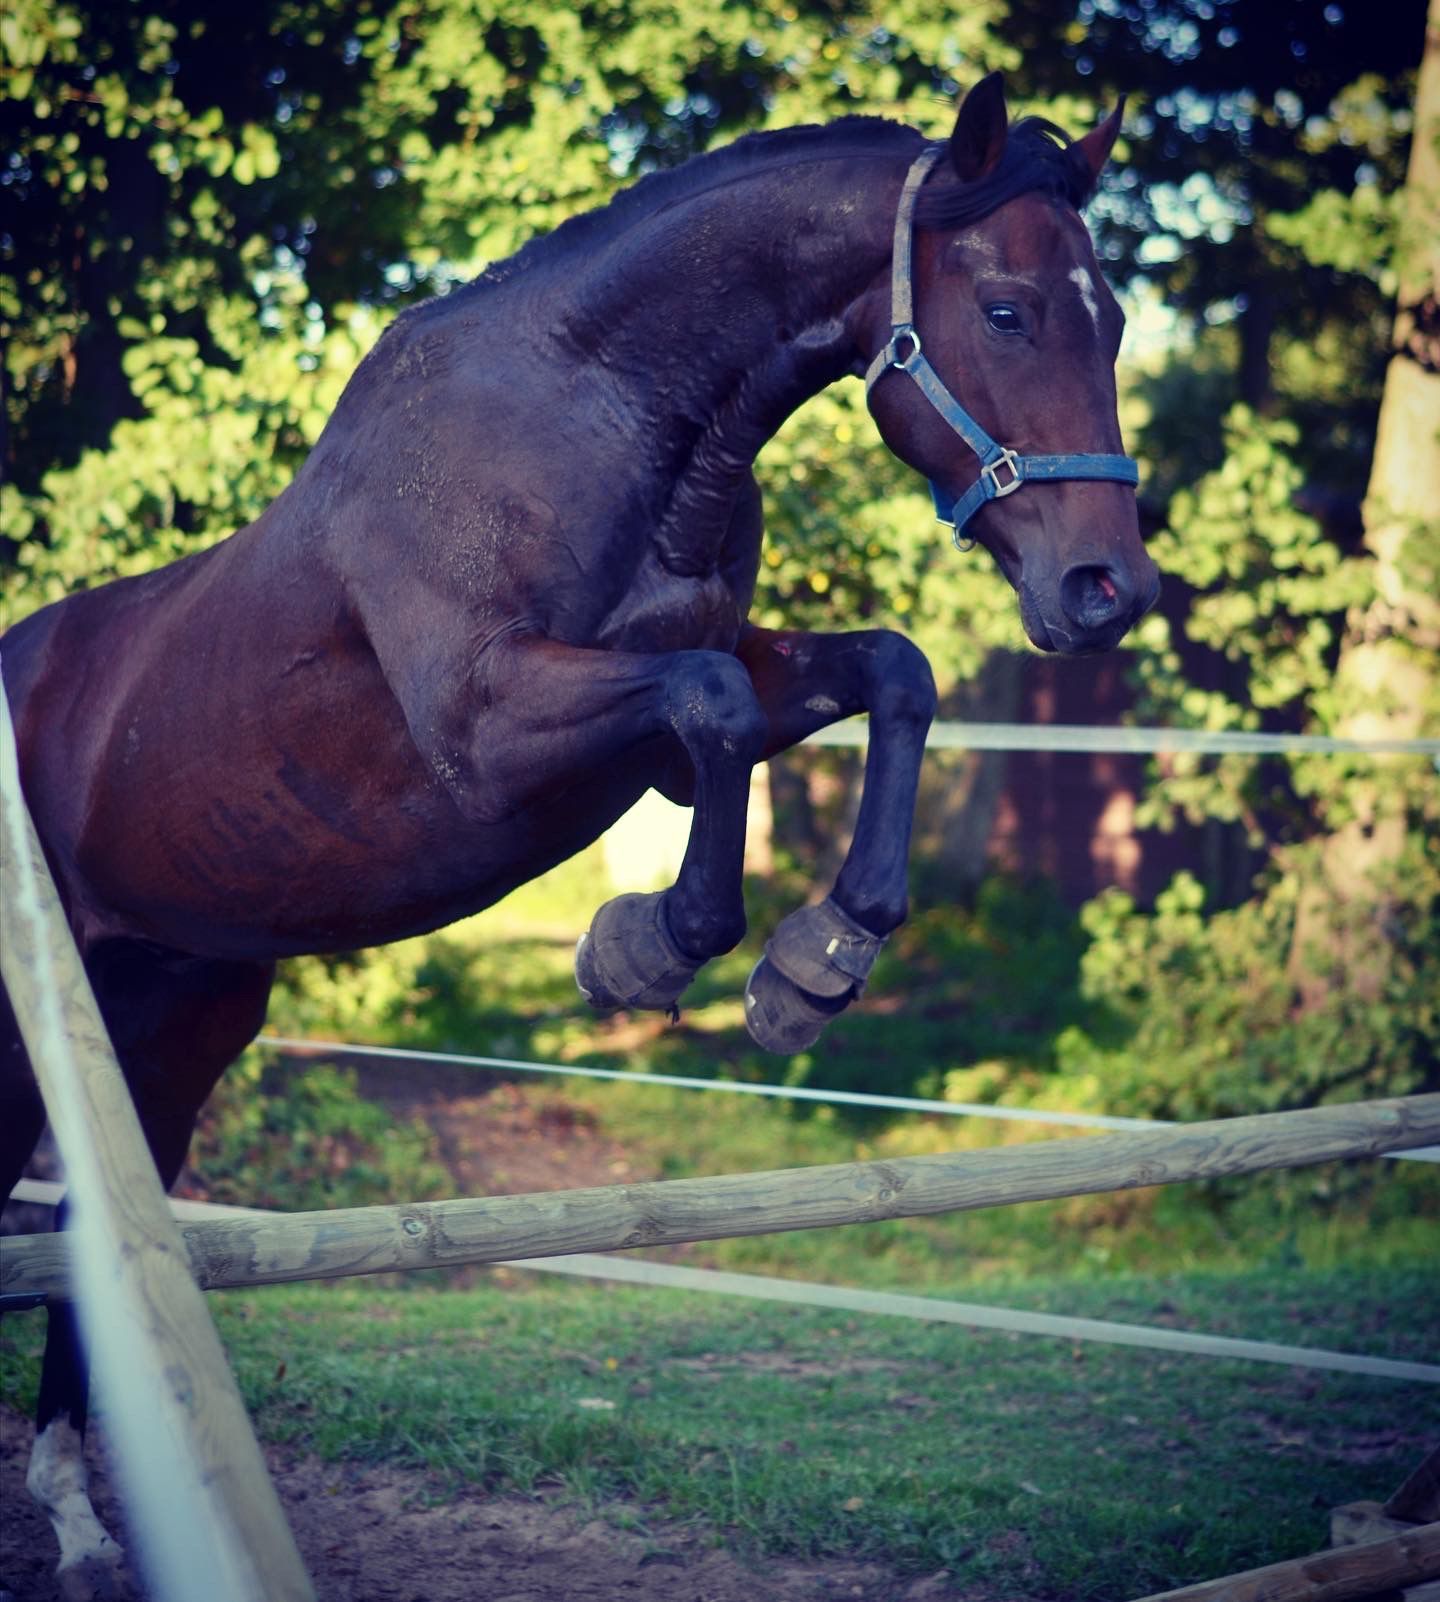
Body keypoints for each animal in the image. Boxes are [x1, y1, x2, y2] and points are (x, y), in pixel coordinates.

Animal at [0, 78, 1159, 1602]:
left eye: (1119, 318)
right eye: (1012, 309)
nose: (1108, 589)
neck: (597, 413)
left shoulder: (680, 702)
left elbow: (887, 672)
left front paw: (818, 960)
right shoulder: (491, 727)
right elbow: (715, 706)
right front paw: (651, 949)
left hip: (170, 1020)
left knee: (88, 1236)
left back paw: (79, 1521)